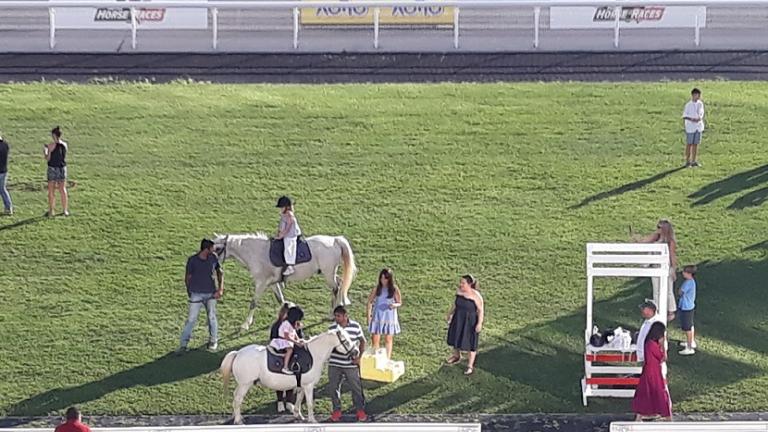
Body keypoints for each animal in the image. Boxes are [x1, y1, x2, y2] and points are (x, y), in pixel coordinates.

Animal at [213, 233, 356, 330]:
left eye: (218, 249)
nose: (215, 265)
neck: (258, 253)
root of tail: (335, 240)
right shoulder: (273, 283)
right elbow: (281, 300)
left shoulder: (261, 283)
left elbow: (253, 303)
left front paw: (245, 324)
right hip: (329, 273)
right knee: (340, 284)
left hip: (328, 274)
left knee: (336, 288)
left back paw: (332, 314)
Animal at [219, 328, 356, 422]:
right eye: (345, 341)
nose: (356, 351)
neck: (314, 355)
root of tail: (237, 353)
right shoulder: (309, 386)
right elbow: (310, 403)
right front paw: (312, 420)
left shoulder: (302, 385)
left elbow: (299, 399)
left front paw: (298, 415)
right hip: (245, 384)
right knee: (238, 399)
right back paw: (238, 420)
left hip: (242, 384)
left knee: (235, 397)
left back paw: (238, 417)